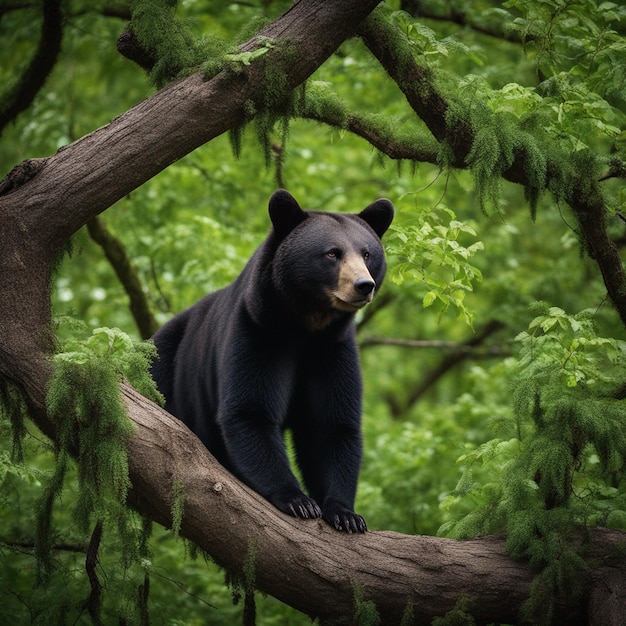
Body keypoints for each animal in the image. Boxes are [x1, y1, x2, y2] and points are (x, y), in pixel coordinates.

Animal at [151, 188, 392, 528]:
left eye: (367, 253)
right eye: (332, 253)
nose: (363, 285)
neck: (306, 325)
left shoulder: (333, 349)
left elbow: (332, 425)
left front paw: (346, 514)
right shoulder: (258, 331)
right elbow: (250, 411)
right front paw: (298, 500)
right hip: (164, 367)